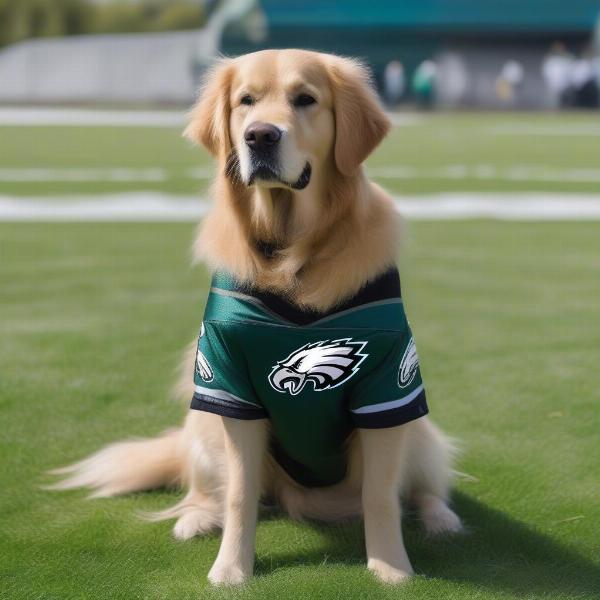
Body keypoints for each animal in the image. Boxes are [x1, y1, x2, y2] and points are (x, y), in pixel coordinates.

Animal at [52, 49, 464, 584]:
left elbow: (379, 495)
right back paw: (195, 517)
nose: (260, 136)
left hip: (417, 432)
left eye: (305, 99)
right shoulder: (230, 387)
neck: (292, 253)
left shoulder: (389, 390)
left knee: (423, 485)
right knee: (207, 488)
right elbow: (240, 495)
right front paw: (231, 570)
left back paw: (440, 518)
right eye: (245, 101)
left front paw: (390, 567)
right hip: (203, 419)